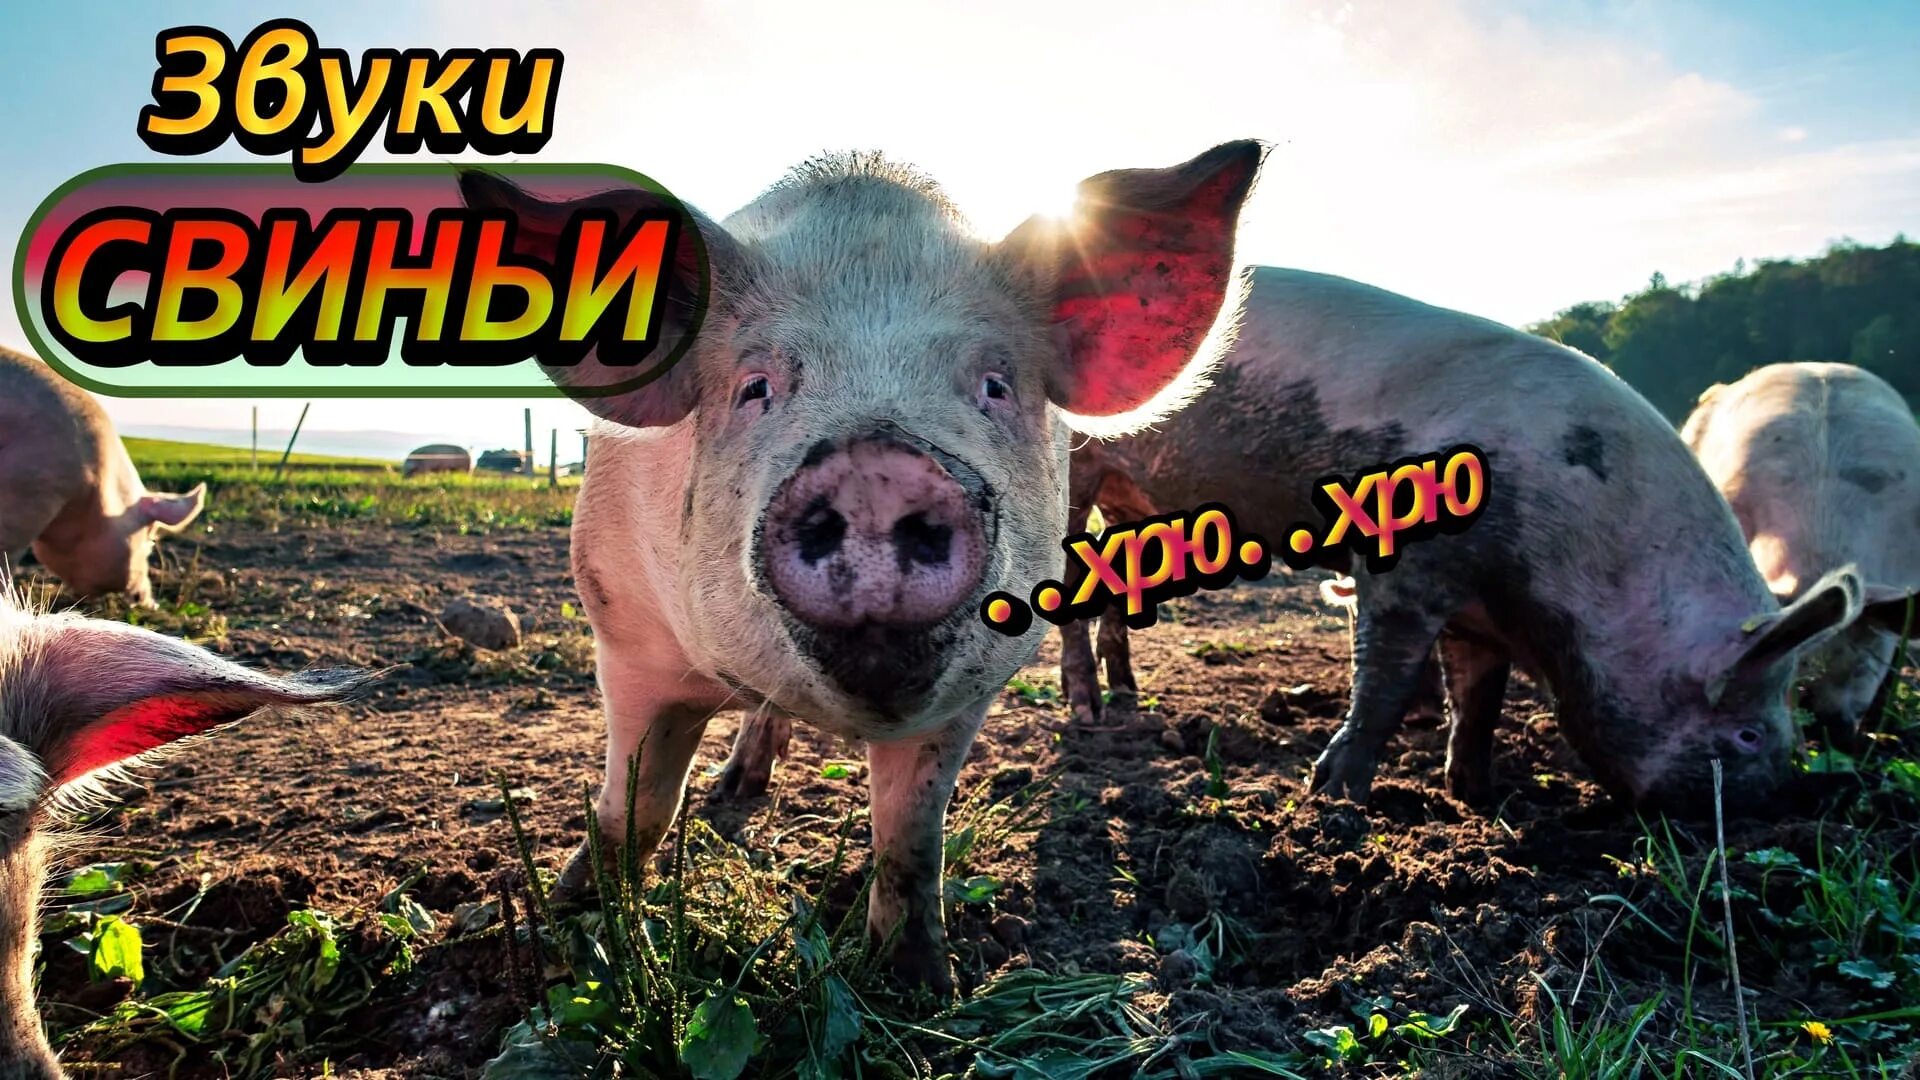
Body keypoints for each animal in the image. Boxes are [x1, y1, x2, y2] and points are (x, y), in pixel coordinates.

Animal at [458, 141, 1264, 991]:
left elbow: (910, 837)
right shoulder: (626, 632)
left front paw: (921, 986)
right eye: (755, 386)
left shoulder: (972, 690)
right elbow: (636, 806)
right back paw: (733, 790)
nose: (878, 466)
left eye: (995, 385)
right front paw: (573, 925)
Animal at [1052, 268, 1863, 811]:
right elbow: (1385, 680)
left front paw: (1480, 795)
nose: (1782, 806)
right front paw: (1333, 799)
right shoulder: (1407, 572)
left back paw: (1129, 701)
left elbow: (1479, 698)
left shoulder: (1484, 616)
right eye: (1747, 735)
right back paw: (1087, 714)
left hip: (1133, 503)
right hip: (1076, 467)